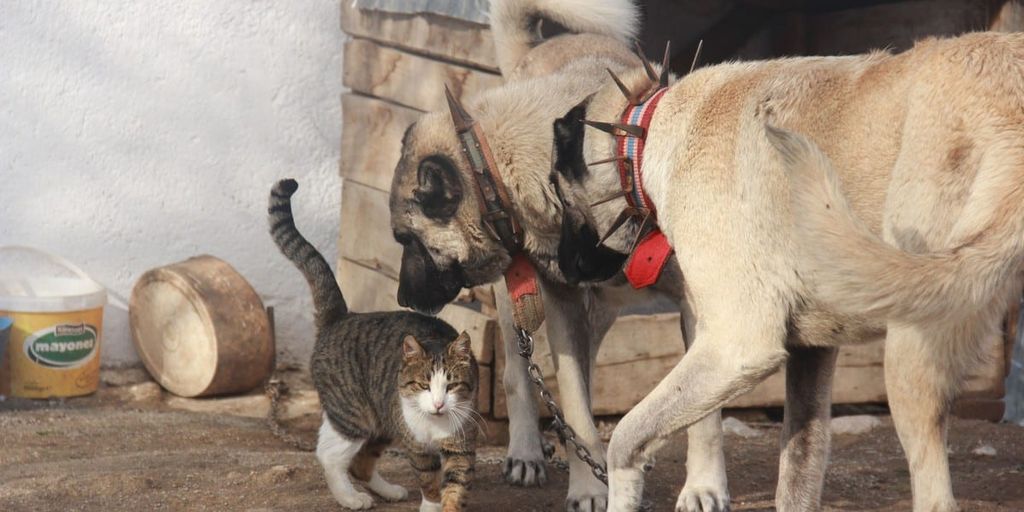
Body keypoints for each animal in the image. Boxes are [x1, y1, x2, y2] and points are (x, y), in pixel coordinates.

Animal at [266, 178, 477, 509]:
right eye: (424, 385)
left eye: (452, 385)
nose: (439, 404)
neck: (435, 425)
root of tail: (341, 316)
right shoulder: (417, 447)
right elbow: (430, 483)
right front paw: (430, 504)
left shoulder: (461, 445)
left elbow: (455, 486)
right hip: (354, 413)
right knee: (330, 455)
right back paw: (351, 498)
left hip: (381, 419)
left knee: (360, 463)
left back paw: (386, 491)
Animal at [387, 0, 733, 507]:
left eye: (408, 241)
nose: (402, 301)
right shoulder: (563, 306)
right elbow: (576, 410)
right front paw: (589, 487)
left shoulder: (694, 307)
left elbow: (703, 416)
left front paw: (704, 486)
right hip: (520, 306)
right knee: (521, 377)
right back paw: (529, 451)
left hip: (601, 309)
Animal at [552, 32, 1024, 512]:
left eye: (556, 189)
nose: (561, 267)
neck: (650, 127)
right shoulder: (810, 353)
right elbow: (799, 467)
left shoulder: (735, 347)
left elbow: (626, 437)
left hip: (911, 352)